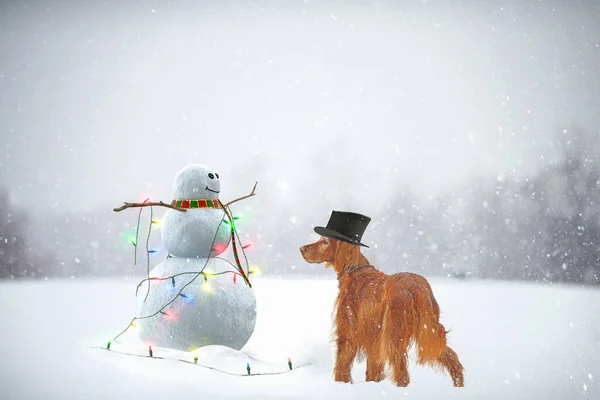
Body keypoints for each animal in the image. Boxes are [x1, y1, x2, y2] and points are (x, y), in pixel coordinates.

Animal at [300, 225, 464, 388]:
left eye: (324, 241)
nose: (301, 248)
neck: (354, 270)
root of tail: (418, 286)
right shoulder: (374, 339)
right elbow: (372, 370)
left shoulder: (347, 333)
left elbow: (342, 365)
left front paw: (340, 385)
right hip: (427, 330)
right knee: (450, 356)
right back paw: (459, 385)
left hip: (394, 335)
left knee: (403, 374)